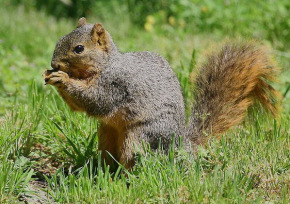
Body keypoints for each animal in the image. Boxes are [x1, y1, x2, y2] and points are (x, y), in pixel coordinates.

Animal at [44, 17, 280, 171]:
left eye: (79, 49)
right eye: (59, 39)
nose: (54, 64)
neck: (107, 65)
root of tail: (179, 145)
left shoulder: (116, 85)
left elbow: (95, 100)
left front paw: (62, 78)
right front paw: (50, 75)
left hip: (141, 137)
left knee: (137, 159)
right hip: (106, 134)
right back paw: (104, 173)